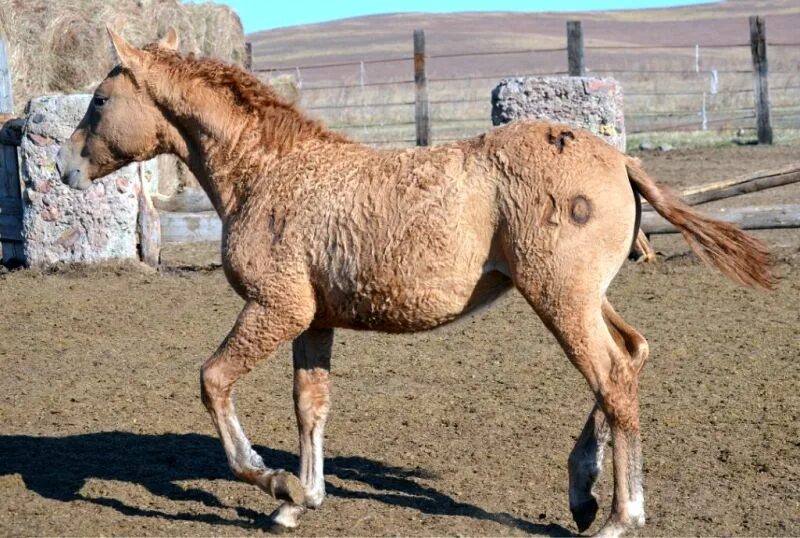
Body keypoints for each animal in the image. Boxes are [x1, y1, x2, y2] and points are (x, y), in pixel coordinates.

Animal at [57, 30, 776, 536]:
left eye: (99, 100)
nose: (63, 166)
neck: (269, 173)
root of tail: (618, 157)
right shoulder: (314, 319)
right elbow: (310, 407)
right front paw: (304, 498)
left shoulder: (276, 308)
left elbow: (214, 381)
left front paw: (274, 483)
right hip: (585, 297)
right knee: (631, 354)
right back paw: (584, 490)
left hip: (561, 298)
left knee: (613, 377)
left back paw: (620, 516)